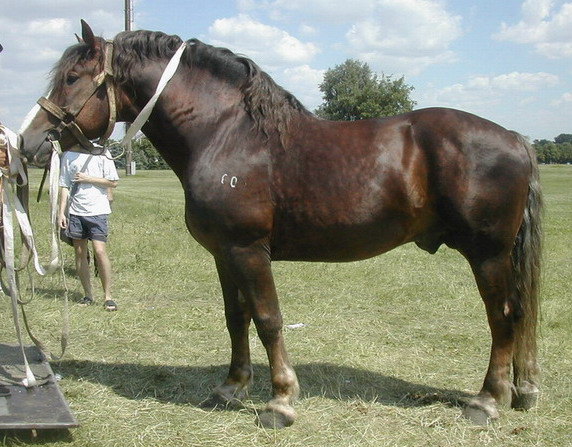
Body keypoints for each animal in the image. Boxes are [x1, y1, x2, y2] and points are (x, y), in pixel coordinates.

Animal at [20, 21, 544, 430]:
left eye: (72, 77)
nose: (29, 142)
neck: (226, 133)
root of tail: (514, 136)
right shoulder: (224, 253)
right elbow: (236, 318)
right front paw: (231, 388)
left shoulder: (249, 250)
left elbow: (268, 319)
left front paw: (281, 401)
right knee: (516, 316)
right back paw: (521, 391)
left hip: (488, 254)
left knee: (503, 317)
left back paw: (487, 401)